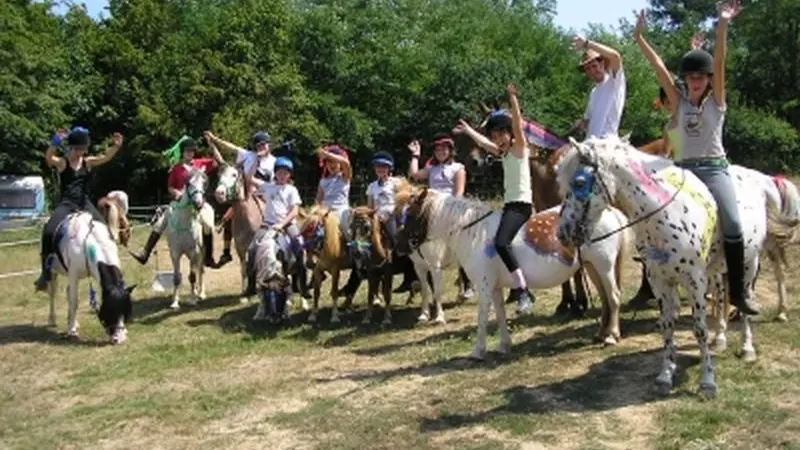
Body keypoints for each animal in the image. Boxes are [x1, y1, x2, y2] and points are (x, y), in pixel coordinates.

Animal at [44, 213, 134, 342]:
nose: (119, 339)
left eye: (127, 312)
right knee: (53, 292)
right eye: (110, 310)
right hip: (52, 271)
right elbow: (74, 301)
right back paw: (53, 320)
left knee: (67, 291)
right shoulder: (73, 274)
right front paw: (72, 331)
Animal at [214, 163, 260, 304]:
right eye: (220, 174)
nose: (219, 193)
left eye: (234, 175)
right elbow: (244, 270)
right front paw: (245, 293)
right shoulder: (240, 248)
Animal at [396, 185, 636, 358]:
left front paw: (477, 351)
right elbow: (501, 314)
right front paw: (504, 345)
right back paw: (601, 334)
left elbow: (483, 318)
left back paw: (612, 336)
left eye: (411, 215)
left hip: (604, 267)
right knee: (605, 300)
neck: (476, 234)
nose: (398, 246)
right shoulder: (495, 288)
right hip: (592, 267)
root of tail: (610, 211)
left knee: (614, 297)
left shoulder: (484, 288)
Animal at [552, 135, 796, 400]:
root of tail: (757, 178)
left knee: (743, 301)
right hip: (717, 268)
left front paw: (707, 382)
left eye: (578, 182)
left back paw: (746, 347)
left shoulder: (694, 281)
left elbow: (699, 329)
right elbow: (667, 326)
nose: (563, 233)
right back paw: (720, 338)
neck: (665, 215)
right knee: (721, 297)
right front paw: (665, 376)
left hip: (749, 262)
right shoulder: (659, 279)